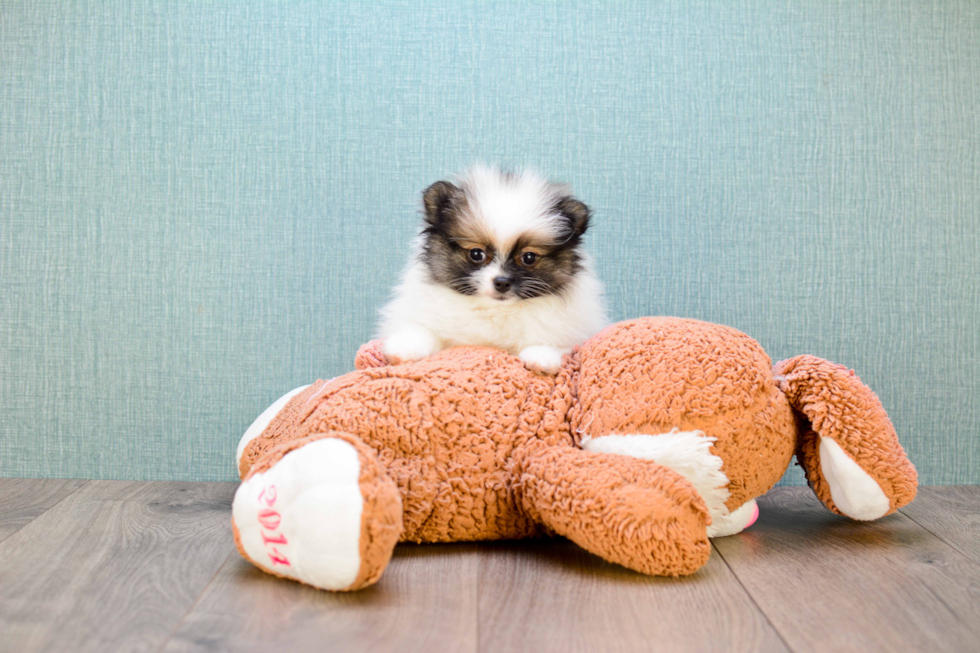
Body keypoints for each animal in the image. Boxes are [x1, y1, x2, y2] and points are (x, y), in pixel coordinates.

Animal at [378, 166, 608, 374]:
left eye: (529, 257)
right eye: (476, 254)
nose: (502, 282)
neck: (495, 310)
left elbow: (552, 341)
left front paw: (542, 356)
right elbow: (423, 331)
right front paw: (404, 348)